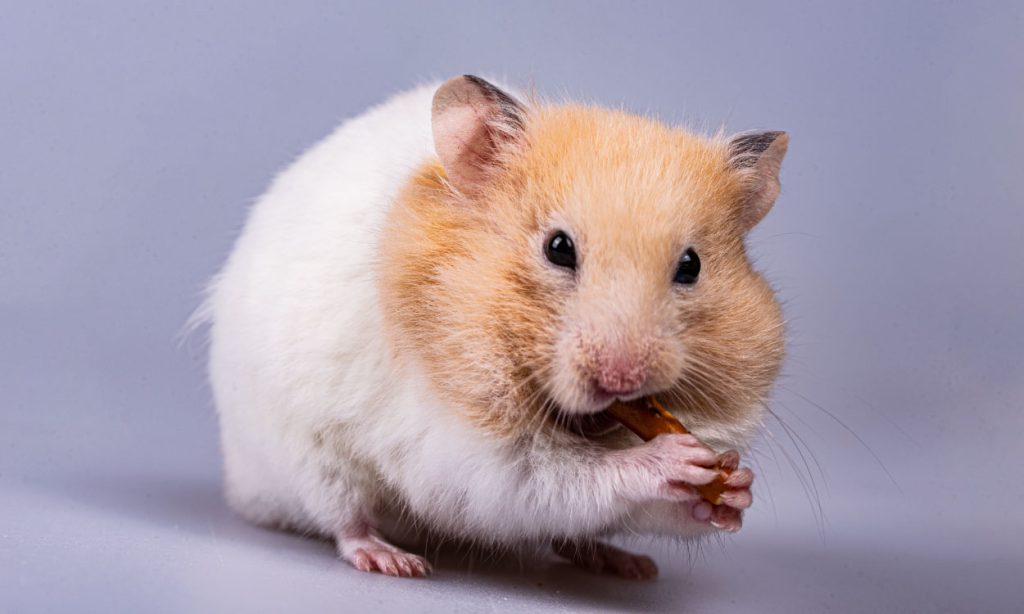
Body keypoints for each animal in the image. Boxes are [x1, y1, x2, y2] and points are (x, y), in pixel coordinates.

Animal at [199, 75, 788, 579]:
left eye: (691, 266)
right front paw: (677, 458)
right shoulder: (475, 456)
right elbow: (572, 476)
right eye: (558, 248)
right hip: (311, 458)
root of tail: (241, 487)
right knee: (344, 519)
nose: (621, 380)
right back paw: (394, 561)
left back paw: (624, 563)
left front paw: (735, 486)